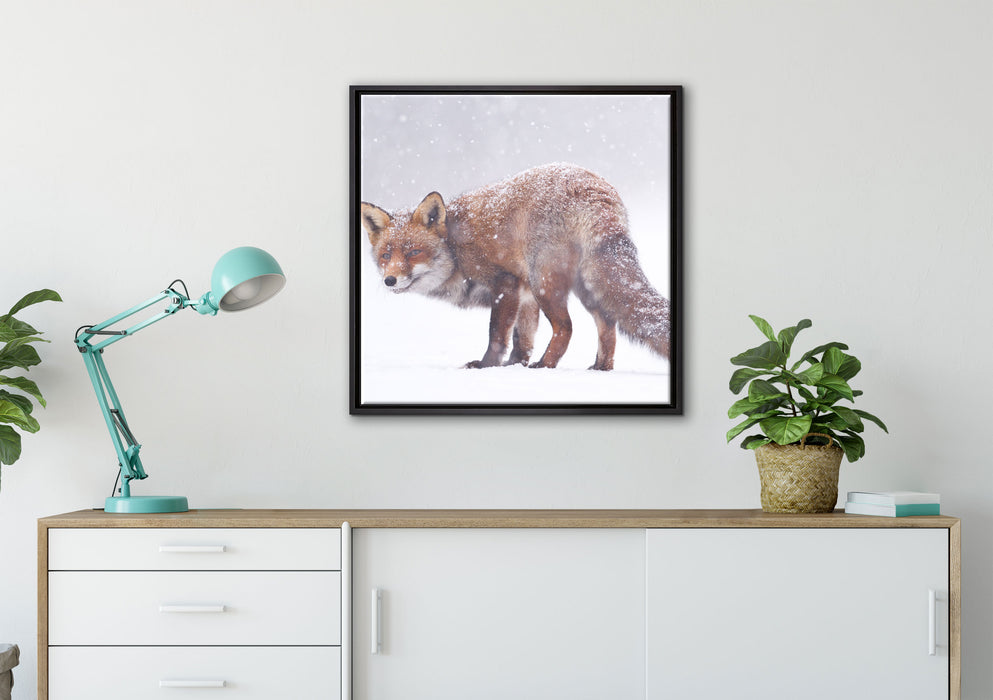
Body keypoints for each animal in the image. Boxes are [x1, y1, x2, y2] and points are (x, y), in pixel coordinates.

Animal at [360, 163, 671, 371]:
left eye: (414, 252)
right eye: (386, 255)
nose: (390, 280)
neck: (456, 248)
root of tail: (594, 188)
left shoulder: (505, 284)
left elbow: (497, 334)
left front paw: (487, 366)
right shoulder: (525, 296)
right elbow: (523, 339)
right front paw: (514, 365)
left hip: (545, 282)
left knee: (566, 327)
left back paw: (546, 365)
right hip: (586, 286)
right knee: (608, 325)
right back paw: (600, 368)